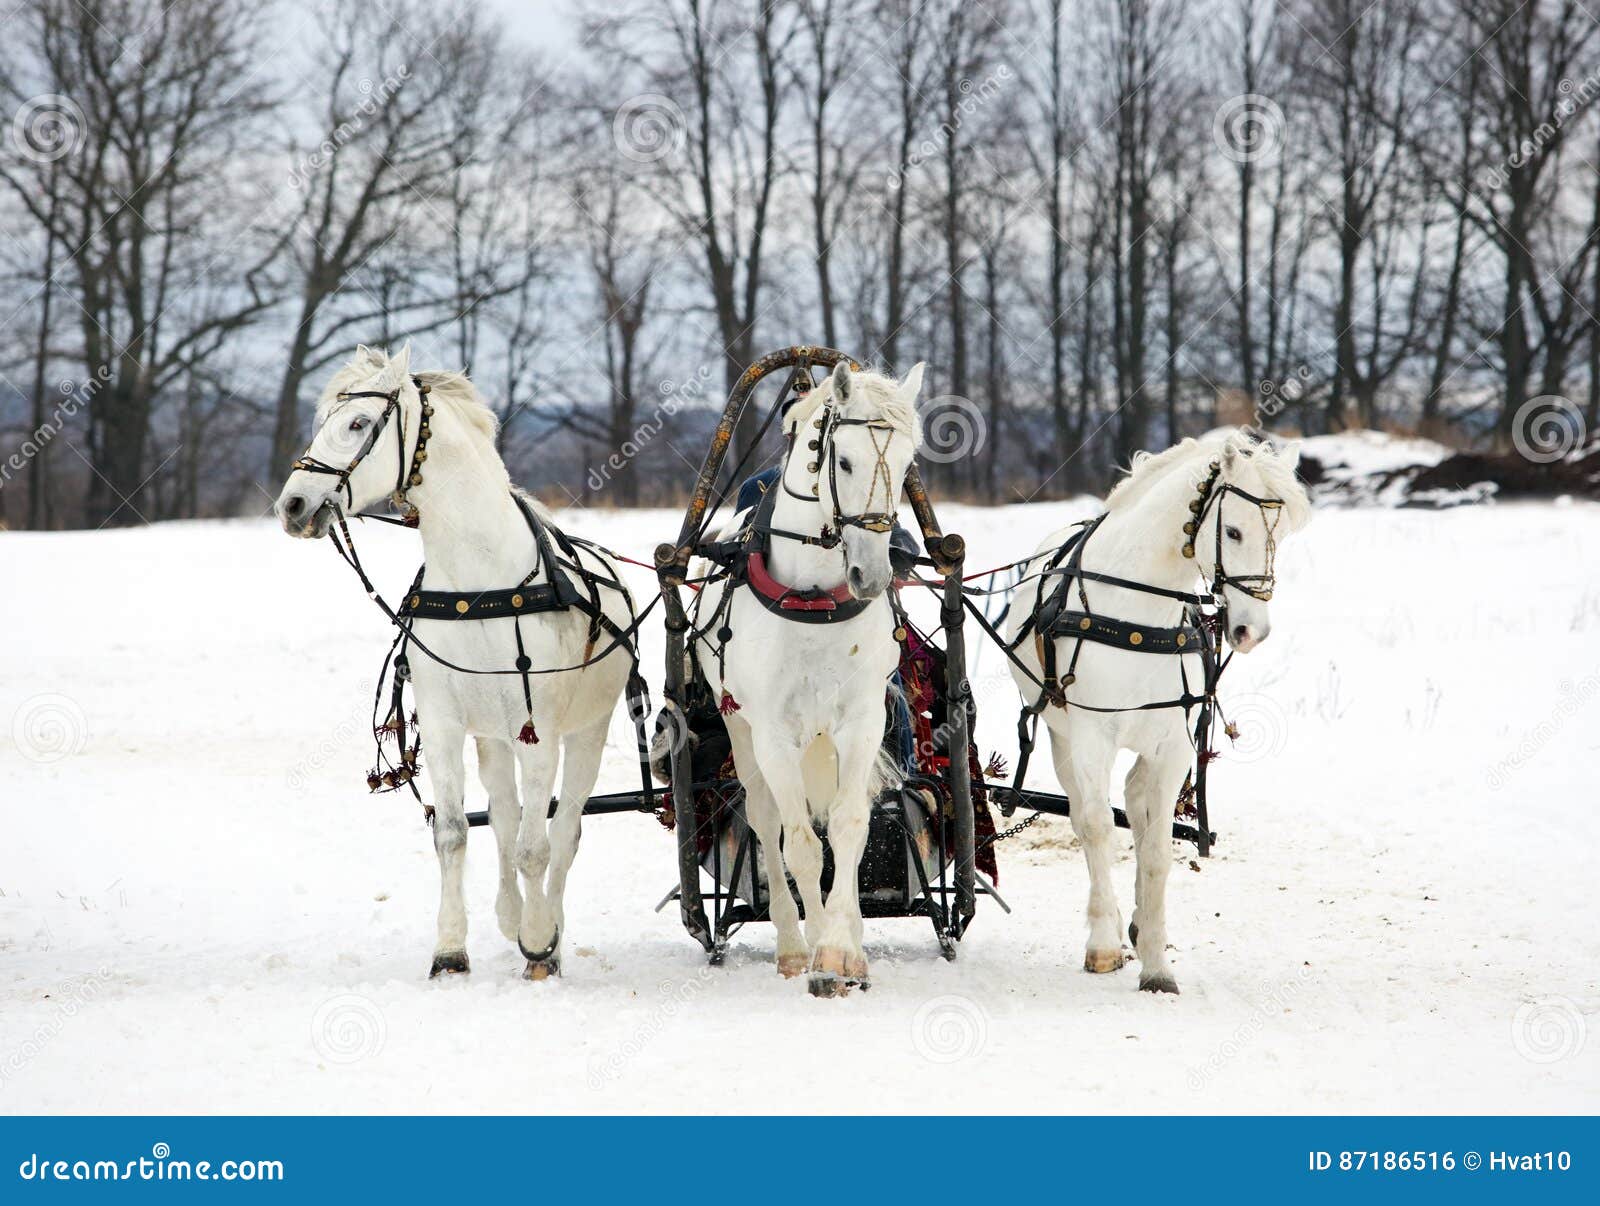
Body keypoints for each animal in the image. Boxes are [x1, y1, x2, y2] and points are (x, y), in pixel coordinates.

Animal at [275, 343, 638, 981]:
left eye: (358, 424)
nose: (293, 505)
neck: (480, 581)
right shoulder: (446, 724)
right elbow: (454, 833)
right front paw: (450, 950)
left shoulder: (540, 732)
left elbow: (538, 847)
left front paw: (540, 942)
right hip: (492, 737)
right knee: (505, 816)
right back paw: (512, 915)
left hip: (585, 733)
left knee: (564, 831)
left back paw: (549, 935)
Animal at [689, 360, 925, 996]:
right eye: (843, 461)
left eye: (906, 466)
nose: (873, 574)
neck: (815, 597)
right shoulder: (773, 732)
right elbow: (798, 844)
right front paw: (819, 952)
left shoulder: (862, 721)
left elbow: (847, 826)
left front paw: (845, 949)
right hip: (744, 732)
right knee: (767, 821)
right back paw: (794, 946)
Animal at [1005, 433, 1310, 993]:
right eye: (1233, 531)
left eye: (1278, 537)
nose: (1251, 631)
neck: (1137, 616)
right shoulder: (1090, 738)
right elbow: (1098, 827)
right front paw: (1104, 945)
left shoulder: (1173, 747)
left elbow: (1157, 847)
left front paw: (1155, 963)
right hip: (1062, 737)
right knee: (1086, 815)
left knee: (1136, 803)